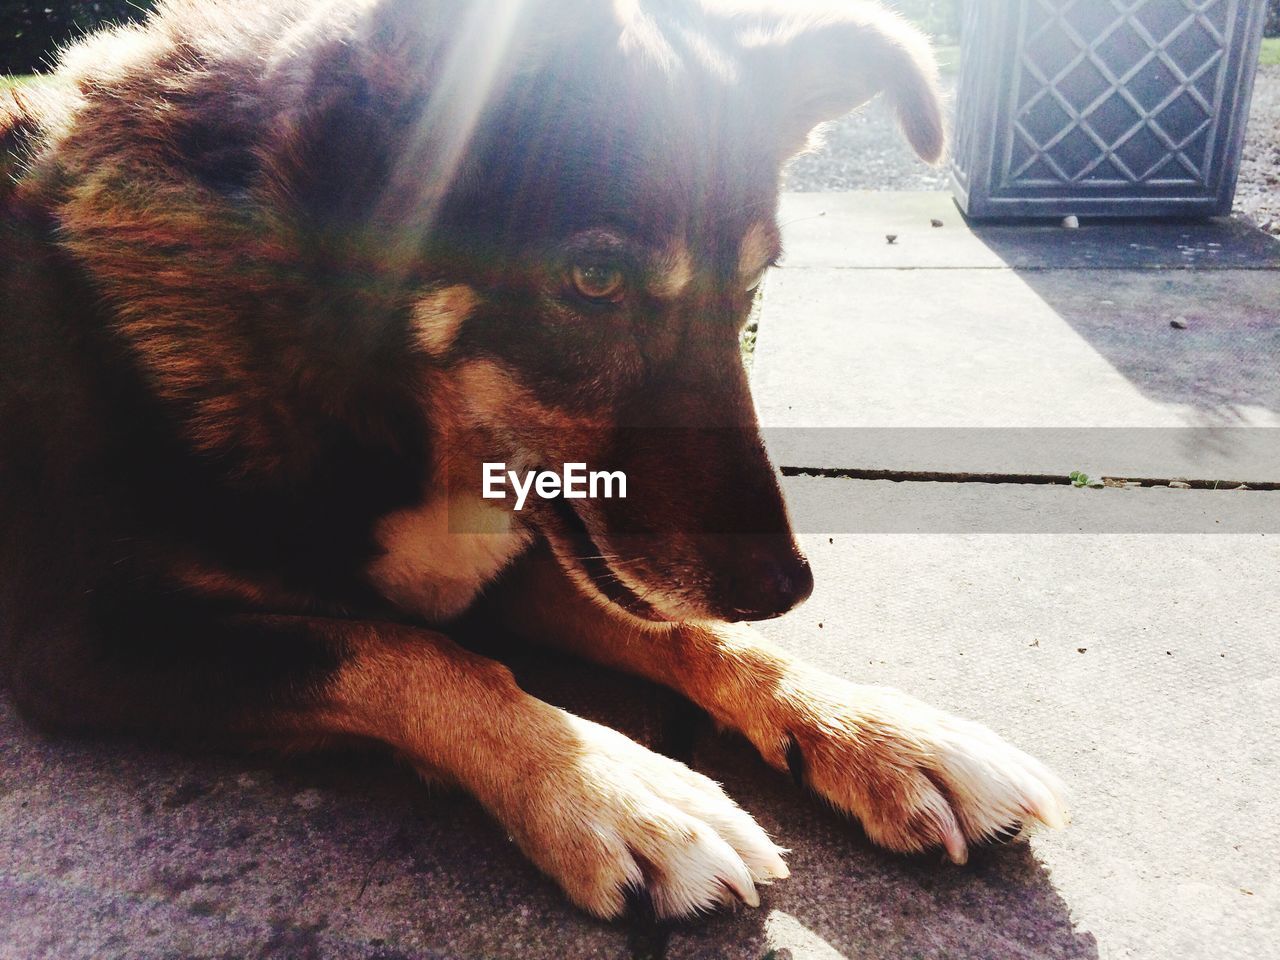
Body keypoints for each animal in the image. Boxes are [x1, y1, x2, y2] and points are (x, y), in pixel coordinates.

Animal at [0, 0, 1064, 916]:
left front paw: (877, 731)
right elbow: (409, 652)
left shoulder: (525, 565)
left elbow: (687, 634)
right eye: (593, 277)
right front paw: (611, 789)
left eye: (752, 285)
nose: (782, 588)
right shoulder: (80, 640)